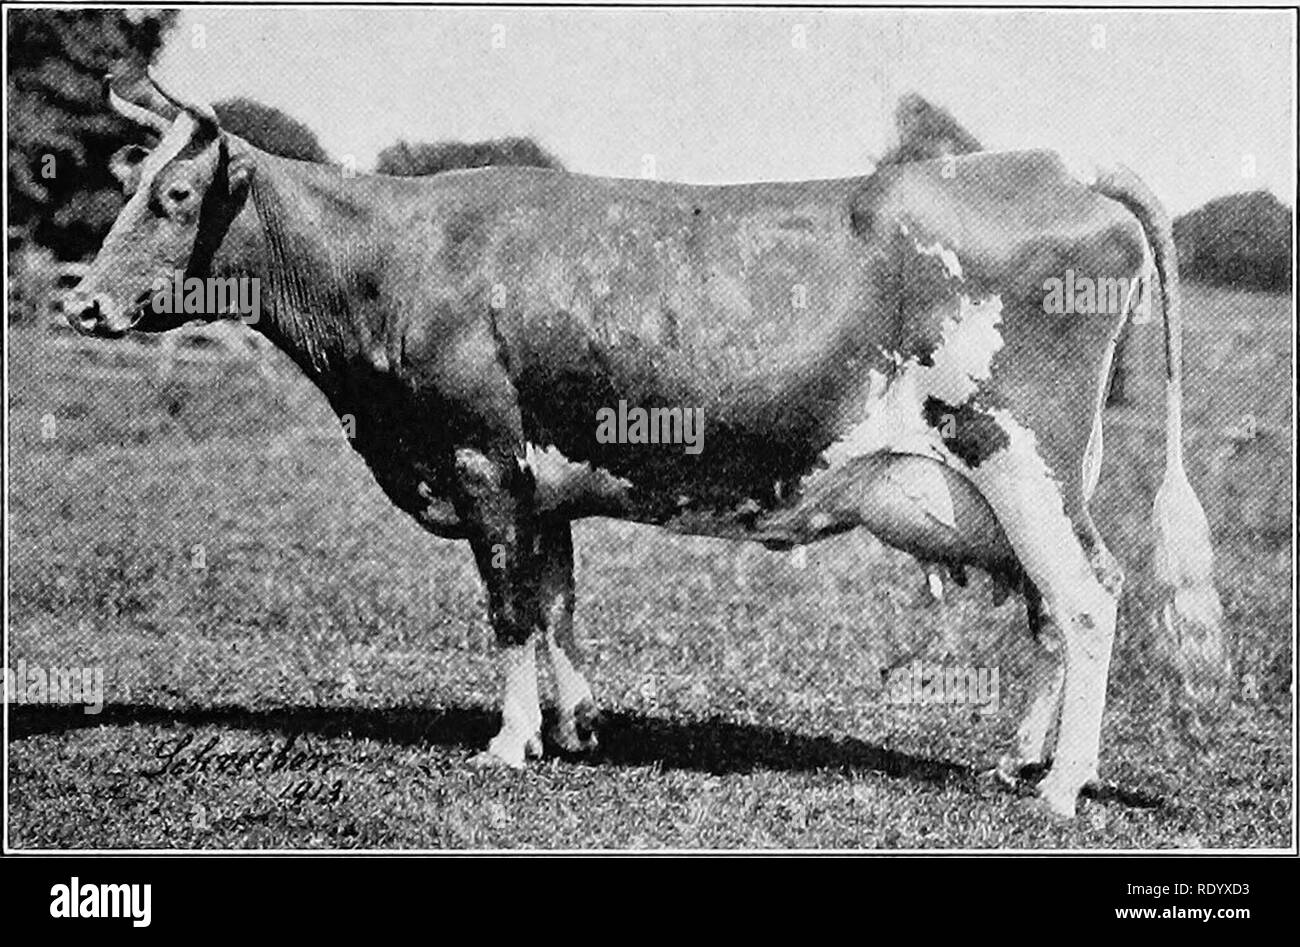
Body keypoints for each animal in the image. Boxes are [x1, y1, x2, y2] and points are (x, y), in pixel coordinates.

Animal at [66, 66, 1232, 819]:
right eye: (130, 185)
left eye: (174, 195)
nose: (80, 302)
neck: (391, 265)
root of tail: (1058, 167)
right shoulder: (540, 481)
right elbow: (556, 600)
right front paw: (575, 726)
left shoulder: (481, 461)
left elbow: (507, 608)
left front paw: (507, 742)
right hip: (1021, 480)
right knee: (1051, 606)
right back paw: (1018, 761)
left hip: (1016, 450)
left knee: (1085, 597)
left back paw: (1062, 787)